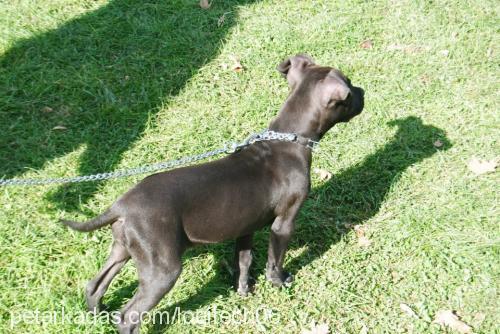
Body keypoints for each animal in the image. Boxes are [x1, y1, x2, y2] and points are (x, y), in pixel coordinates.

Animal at [62, 53, 366, 332]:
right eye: (350, 86)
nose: (363, 92)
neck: (288, 140)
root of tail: (120, 206)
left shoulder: (245, 226)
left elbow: (244, 261)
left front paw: (243, 290)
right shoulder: (284, 223)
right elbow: (274, 260)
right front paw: (280, 282)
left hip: (123, 249)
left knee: (94, 286)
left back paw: (97, 314)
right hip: (162, 269)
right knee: (128, 315)